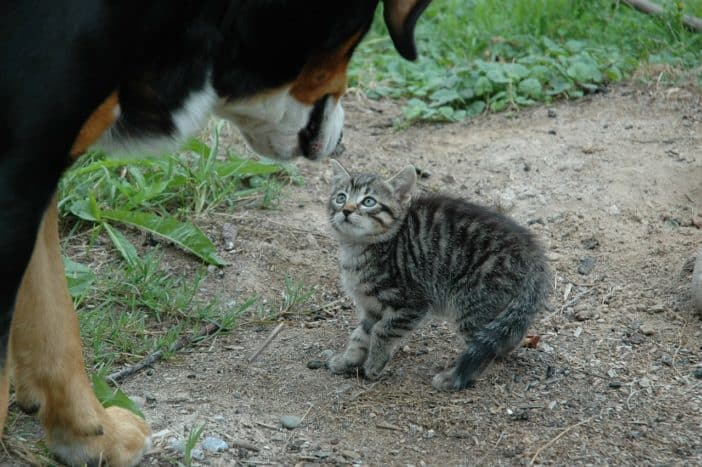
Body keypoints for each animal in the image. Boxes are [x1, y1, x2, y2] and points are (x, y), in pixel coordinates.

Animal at [328, 161, 552, 392]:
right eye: (341, 197)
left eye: (368, 202)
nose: (346, 210)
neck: (357, 248)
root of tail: (533, 255)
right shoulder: (371, 307)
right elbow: (360, 335)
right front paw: (348, 360)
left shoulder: (413, 302)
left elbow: (383, 330)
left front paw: (374, 363)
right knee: (505, 337)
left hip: (472, 303)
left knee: (482, 348)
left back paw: (452, 379)